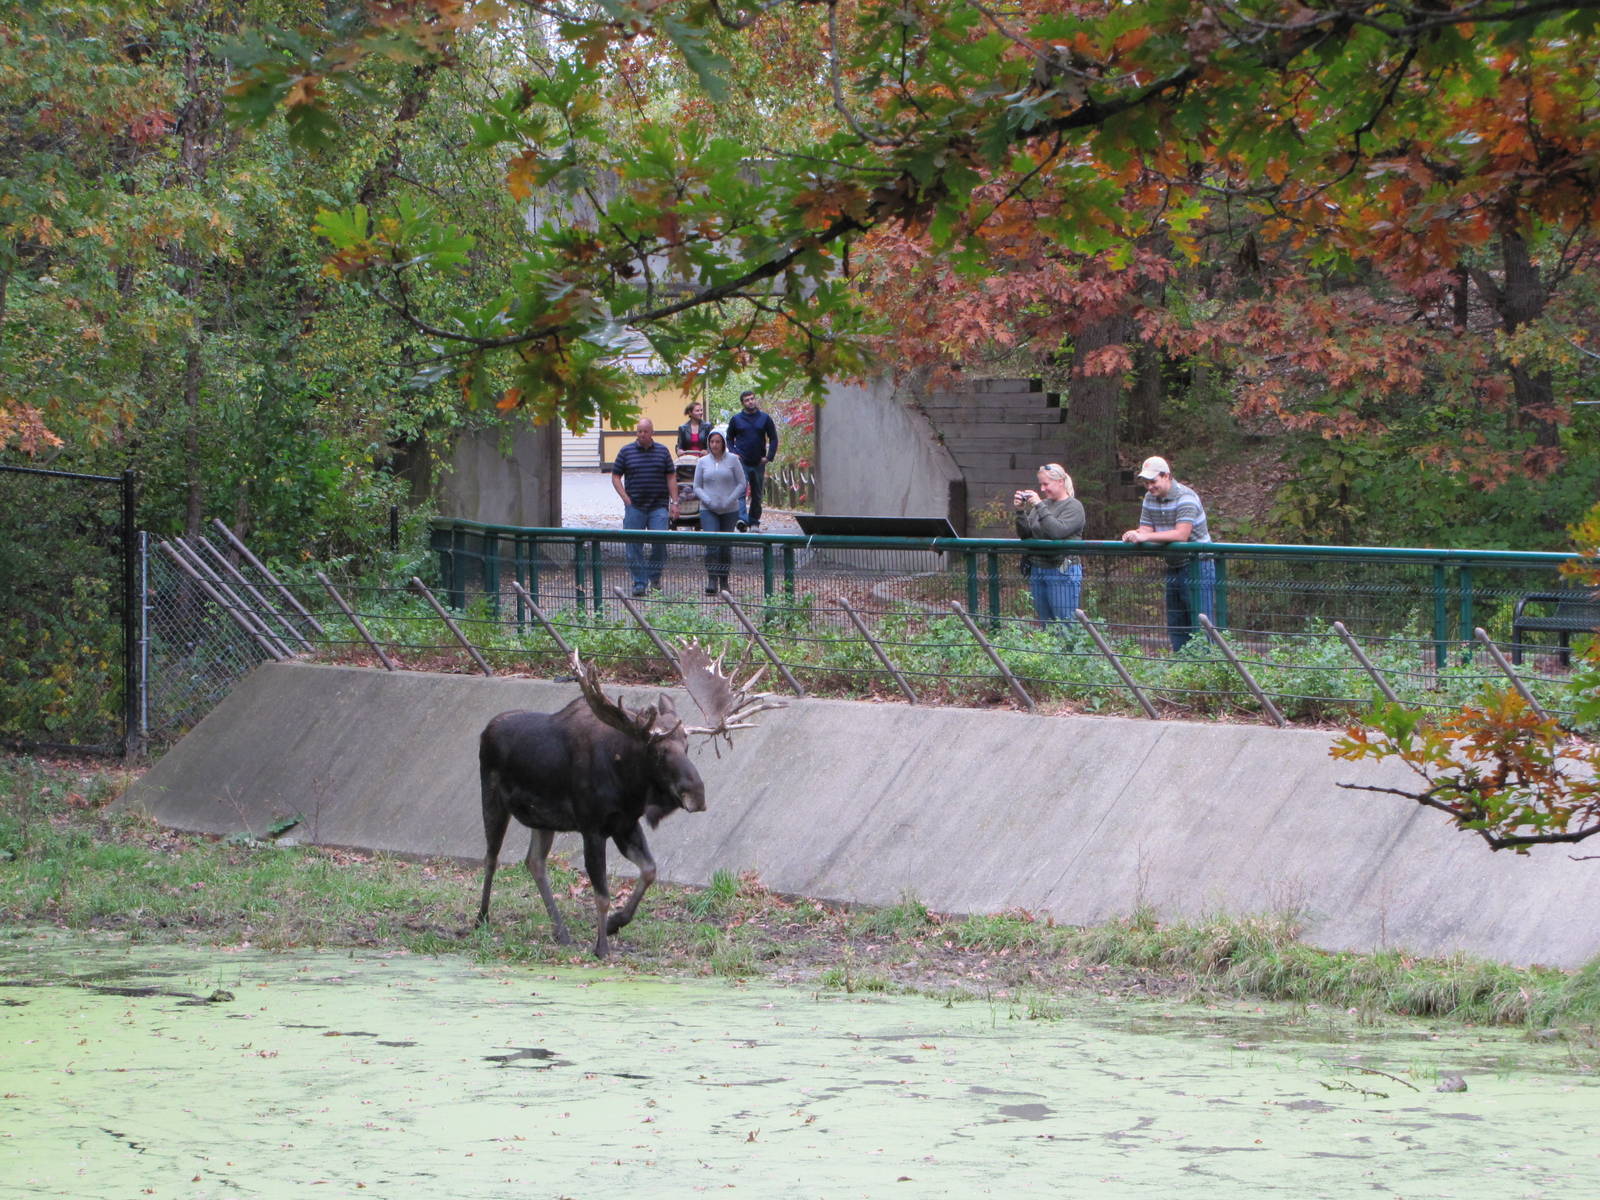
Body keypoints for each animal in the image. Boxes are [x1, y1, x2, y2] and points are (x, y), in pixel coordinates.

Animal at [475, 642, 781, 957]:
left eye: (687, 745)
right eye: (658, 752)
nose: (697, 795)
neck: (628, 784)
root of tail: (486, 730)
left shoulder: (625, 825)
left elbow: (649, 870)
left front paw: (615, 923)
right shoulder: (592, 828)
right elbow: (602, 894)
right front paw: (601, 947)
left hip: (542, 819)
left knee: (534, 862)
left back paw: (560, 931)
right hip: (492, 798)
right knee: (491, 857)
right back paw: (482, 918)